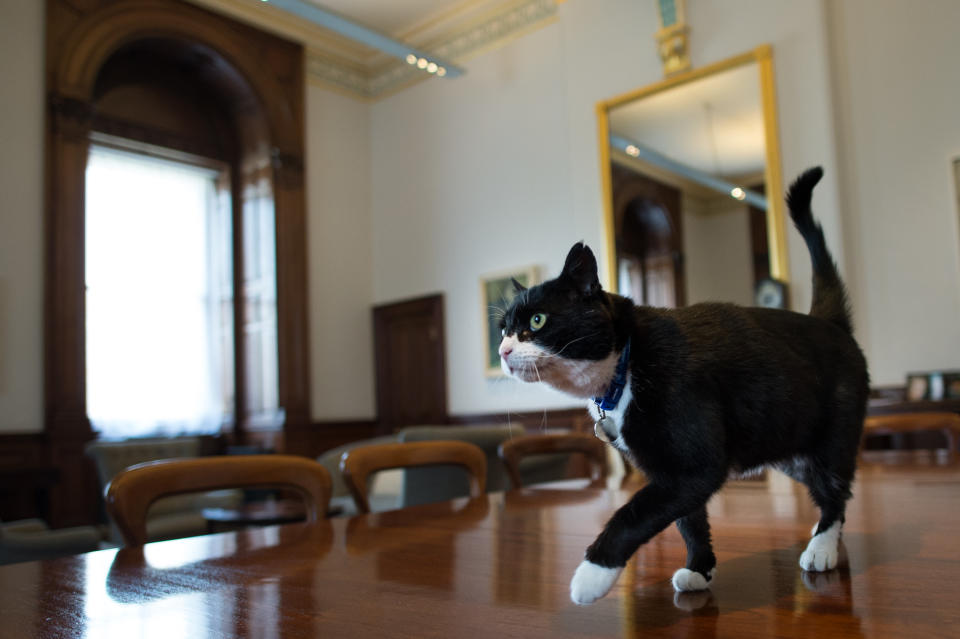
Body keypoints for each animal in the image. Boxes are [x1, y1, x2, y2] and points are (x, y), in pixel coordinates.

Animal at [496, 166, 872, 604]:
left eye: (536, 322)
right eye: (503, 328)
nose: (503, 350)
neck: (627, 364)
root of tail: (829, 322)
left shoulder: (692, 463)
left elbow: (636, 512)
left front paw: (592, 574)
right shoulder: (667, 470)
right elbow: (689, 519)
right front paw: (699, 569)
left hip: (832, 438)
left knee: (835, 489)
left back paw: (822, 546)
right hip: (786, 447)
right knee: (831, 491)